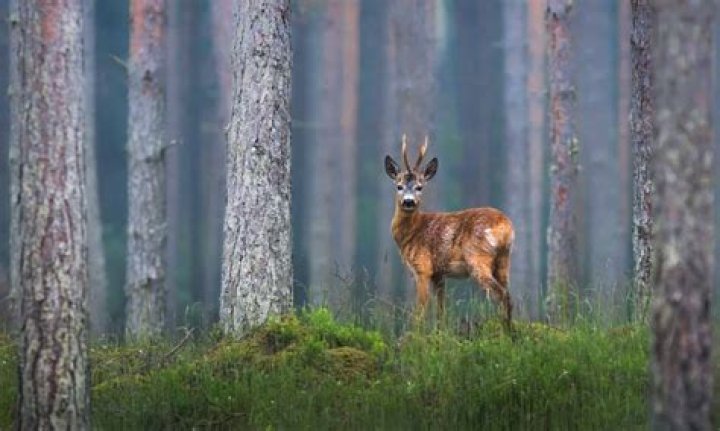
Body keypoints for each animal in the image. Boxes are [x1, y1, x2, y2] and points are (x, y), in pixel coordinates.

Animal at [384, 135, 514, 330]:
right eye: (399, 186)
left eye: (420, 187)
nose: (408, 201)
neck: (412, 233)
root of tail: (505, 226)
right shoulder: (439, 274)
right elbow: (441, 310)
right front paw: (439, 333)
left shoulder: (423, 268)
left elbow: (419, 312)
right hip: (504, 260)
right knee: (509, 295)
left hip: (478, 257)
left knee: (501, 295)